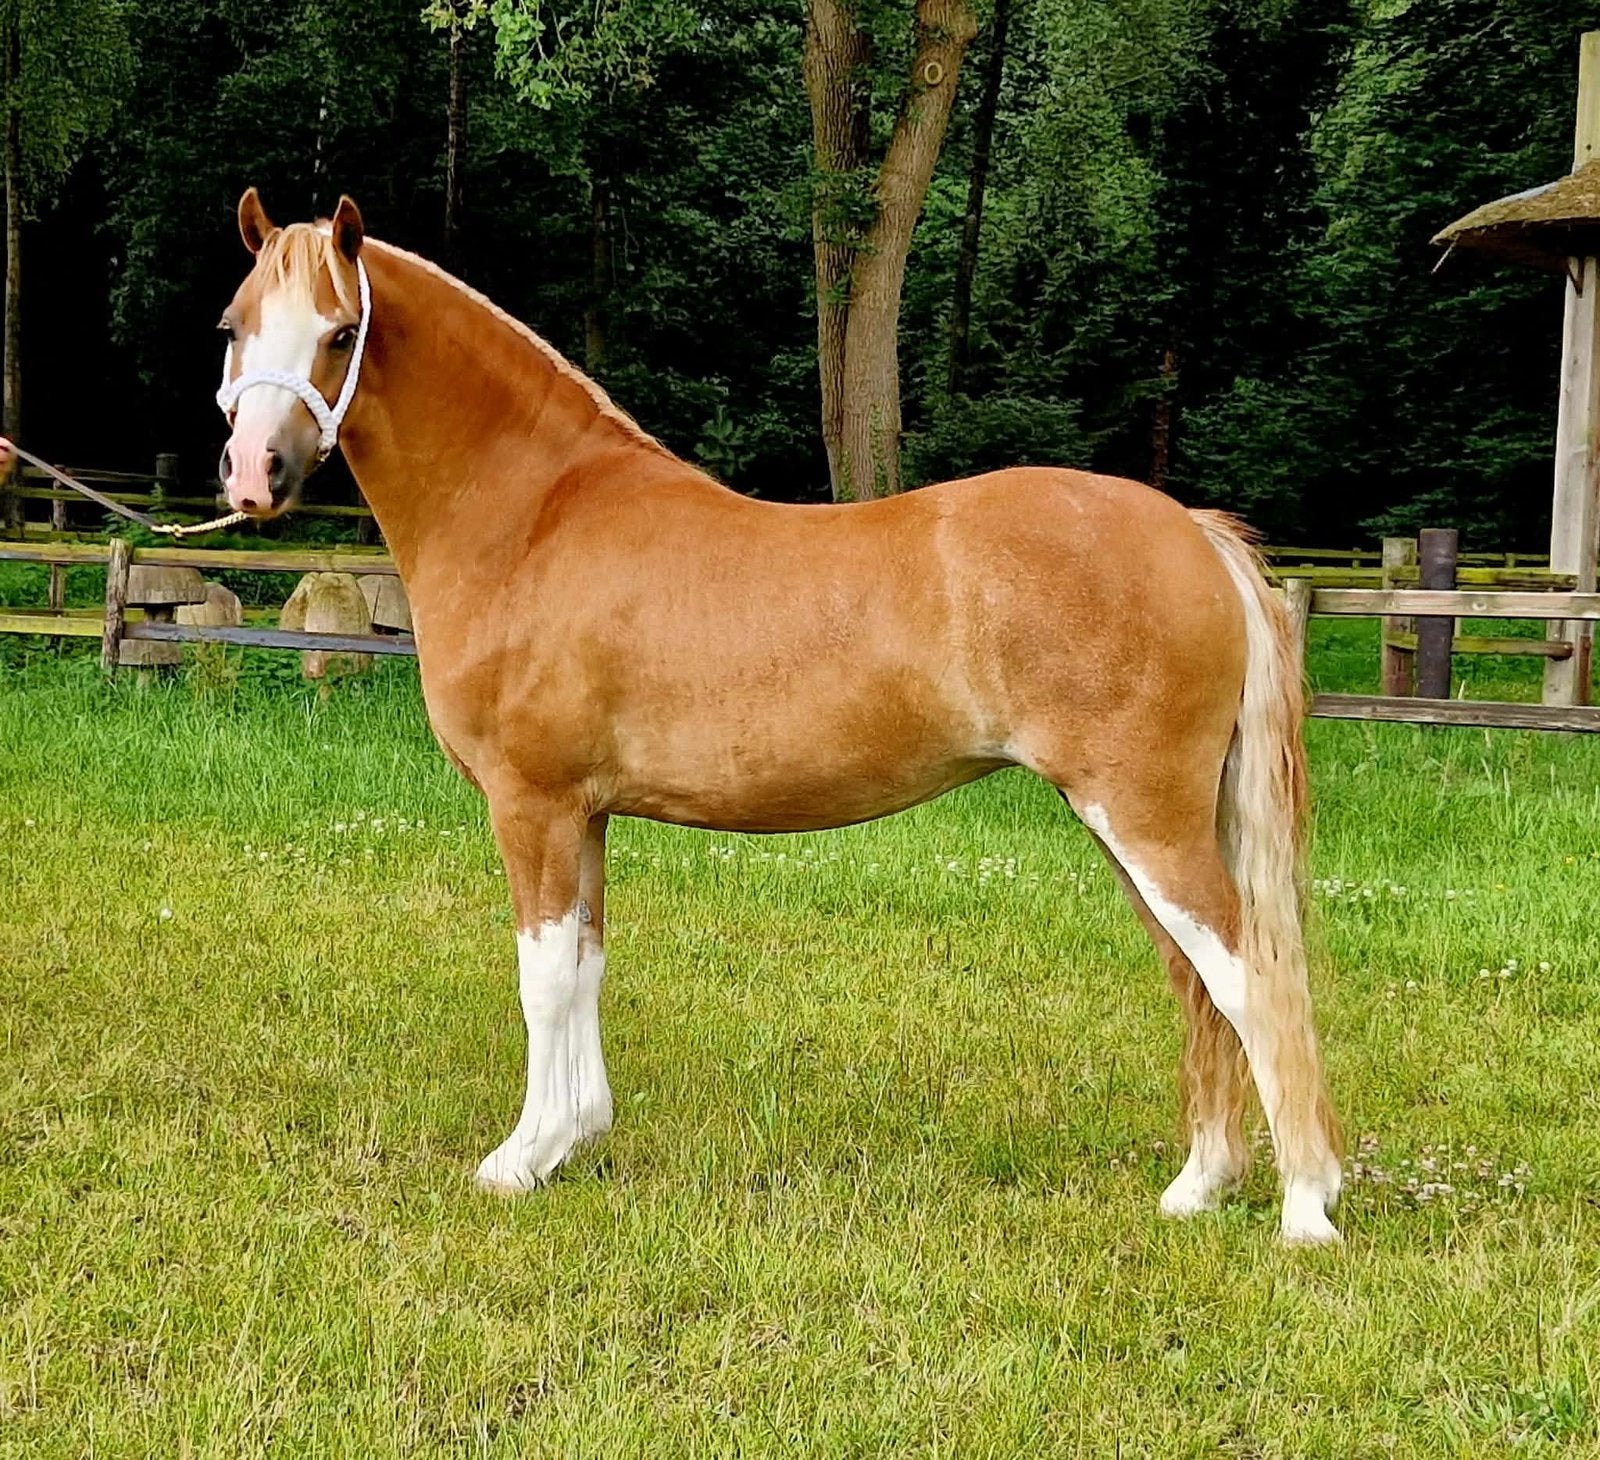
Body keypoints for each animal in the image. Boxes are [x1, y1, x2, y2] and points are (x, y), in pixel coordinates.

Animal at [214, 188, 1343, 1245]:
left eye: (340, 332)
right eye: (234, 323)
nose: (253, 475)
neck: (535, 518)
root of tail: (1192, 533)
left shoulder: (531, 805)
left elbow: (542, 978)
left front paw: (519, 1157)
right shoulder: (585, 813)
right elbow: (585, 965)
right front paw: (574, 1139)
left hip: (1145, 819)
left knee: (1249, 981)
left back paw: (1304, 1210)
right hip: (1135, 827)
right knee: (1198, 983)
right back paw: (1199, 1188)